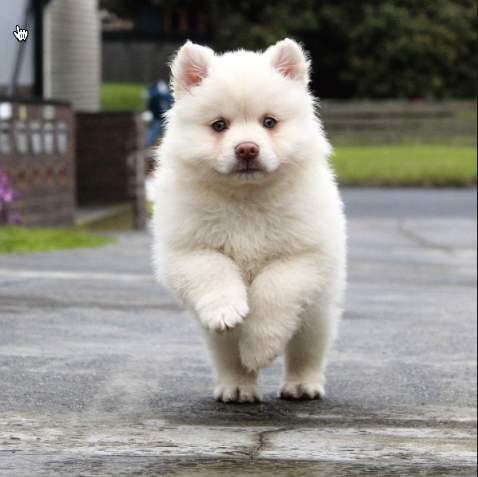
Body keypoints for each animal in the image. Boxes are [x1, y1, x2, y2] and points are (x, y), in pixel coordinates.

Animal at [153, 39, 348, 402]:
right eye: (219, 126)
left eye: (269, 122)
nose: (246, 149)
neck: (246, 199)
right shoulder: (187, 249)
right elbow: (214, 270)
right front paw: (226, 310)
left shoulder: (305, 255)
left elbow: (274, 287)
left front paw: (260, 347)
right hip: (218, 339)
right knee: (229, 355)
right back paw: (237, 387)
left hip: (317, 313)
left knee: (306, 350)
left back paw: (302, 385)